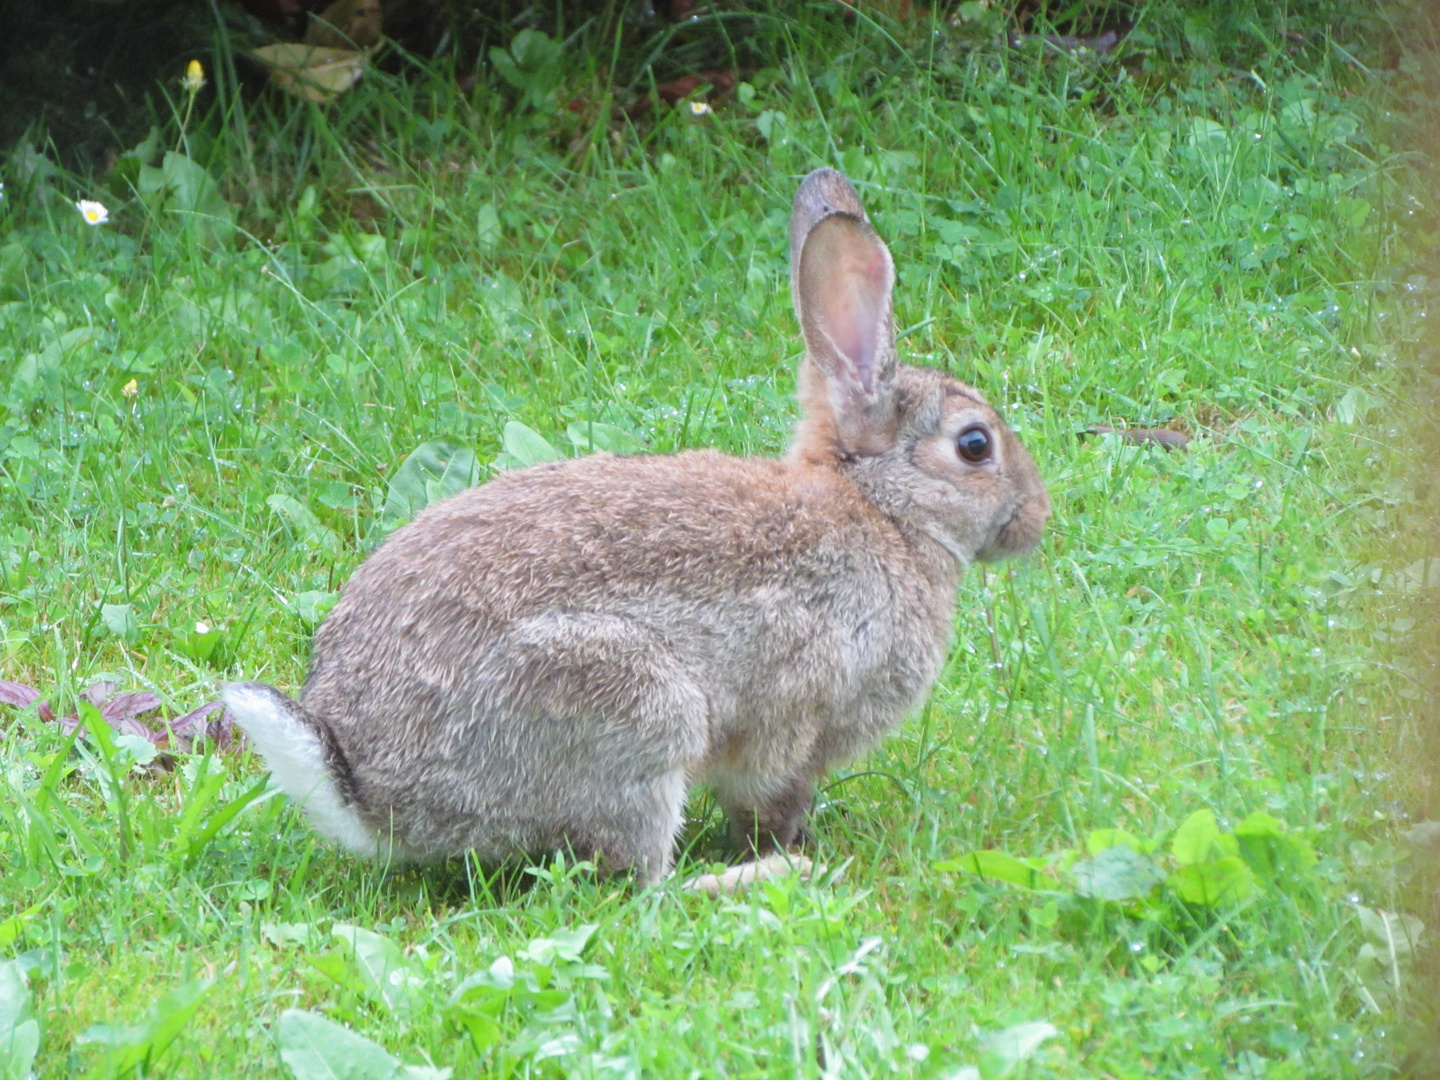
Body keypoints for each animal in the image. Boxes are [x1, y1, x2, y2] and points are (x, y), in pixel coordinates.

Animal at [227, 167, 1059, 881]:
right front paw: (792, 845)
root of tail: (376, 800)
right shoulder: (799, 718)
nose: (1037, 520)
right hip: (632, 710)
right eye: (975, 445)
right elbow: (771, 793)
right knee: (638, 881)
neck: (881, 509)